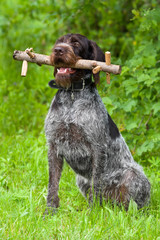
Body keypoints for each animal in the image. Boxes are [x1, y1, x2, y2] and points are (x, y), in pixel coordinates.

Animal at [44, 32, 151, 214]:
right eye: (59, 42)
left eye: (76, 43)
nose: (57, 50)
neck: (72, 95)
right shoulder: (53, 146)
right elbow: (53, 184)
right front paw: (49, 212)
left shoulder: (98, 148)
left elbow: (96, 183)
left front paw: (92, 213)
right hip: (81, 180)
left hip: (133, 176)